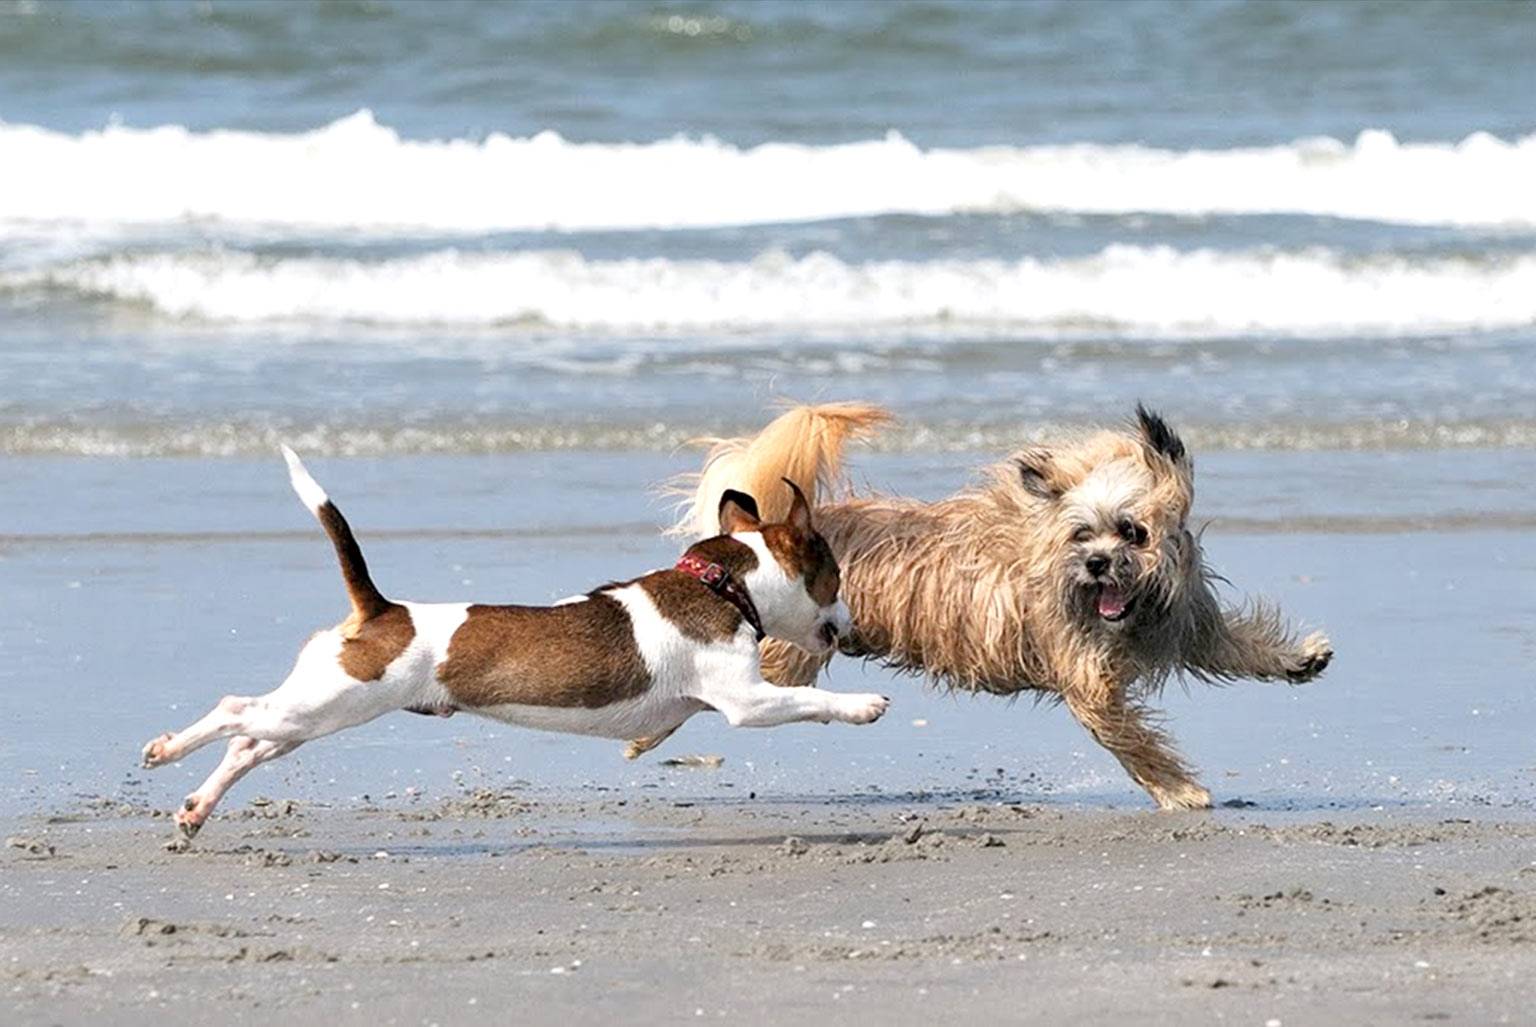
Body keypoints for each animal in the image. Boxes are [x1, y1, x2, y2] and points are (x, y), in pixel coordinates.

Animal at [146, 445, 890, 841]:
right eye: (834, 579)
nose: (854, 627)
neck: (721, 585)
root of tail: (382, 610)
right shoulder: (747, 701)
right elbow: (805, 702)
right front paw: (864, 706)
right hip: (327, 702)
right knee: (234, 710)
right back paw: (166, 750)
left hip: (313, 712)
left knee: (248, 743)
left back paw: (197, 807)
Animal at [660, 399, 1333, 810]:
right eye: (1081, 535)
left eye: (1132, 532)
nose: (1097, 564)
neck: (1130, 611)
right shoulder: (1088, 680)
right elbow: (1133, 739)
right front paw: (1179, 789)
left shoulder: (1188, 625)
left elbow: (1241, 645)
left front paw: (1299, 659)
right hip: (781, 657)